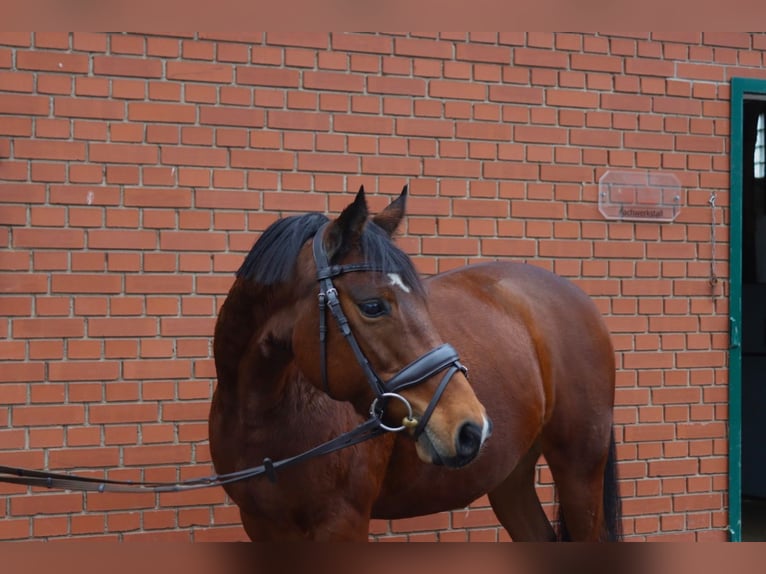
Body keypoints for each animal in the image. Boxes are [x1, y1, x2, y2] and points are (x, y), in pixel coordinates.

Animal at [208, 185, 621, 541]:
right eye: (373, 306)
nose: (471, 428)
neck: (264, 415)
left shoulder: (342, 521)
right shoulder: (261, 525)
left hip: (580, 469)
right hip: (511, 476)